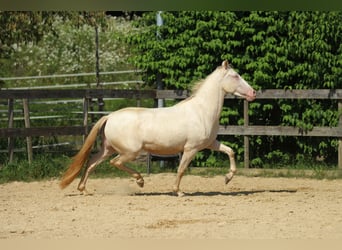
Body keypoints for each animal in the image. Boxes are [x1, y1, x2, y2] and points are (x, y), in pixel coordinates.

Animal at [59, 60, 256, 195]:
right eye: (235, 76)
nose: (253, 92)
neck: (201, 111)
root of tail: (110, 116)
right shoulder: (191, 148)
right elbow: (181, 169)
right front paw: (178, 191)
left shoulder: (209, 143)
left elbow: (230, 152)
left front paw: (227, 178)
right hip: (130, 152)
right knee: (115, 163)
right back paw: (140, 181)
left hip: (108, 148)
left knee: (92, 162)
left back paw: (83, 189)